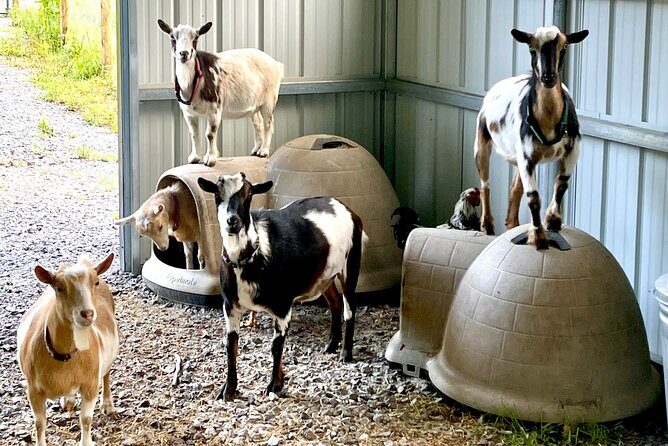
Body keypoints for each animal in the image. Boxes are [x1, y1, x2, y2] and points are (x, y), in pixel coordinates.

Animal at [17, 253, 117, 446]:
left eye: (95, 282)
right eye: (59, 288)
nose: (87, 314)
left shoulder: (90, 385)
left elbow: (86, 419)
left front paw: (87, 442)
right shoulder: (33, 390)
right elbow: (39, 423)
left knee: (107, 373)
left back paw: (107, 404)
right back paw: (68, 400)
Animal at [158, 19, 284, 166]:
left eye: (196, 38)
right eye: (172, 37)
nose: (183, 53)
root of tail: (275, 63)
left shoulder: (214, 109)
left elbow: (210, 134)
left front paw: (210, 158)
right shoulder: (188, 113)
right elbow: (194, 133)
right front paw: (194, 157)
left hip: (269, 100)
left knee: (268, 124)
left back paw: (263, 151)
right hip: (254, 104)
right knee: (257, 123)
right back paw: (256, 150)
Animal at [198, 172, 365, 401]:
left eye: (249, 194)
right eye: (216, 194)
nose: (232, 221)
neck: (254, 254)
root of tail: (347, 209)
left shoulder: (283, 306)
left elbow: (276, 347)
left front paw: (274, 385)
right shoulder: (229, 305)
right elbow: (231, 345)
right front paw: (228, 389)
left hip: (350, 265)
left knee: (350, 308)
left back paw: (345, 354)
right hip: (325, 277)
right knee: (335, 303)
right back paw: (331, 346)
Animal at [475, 26, 588, 249]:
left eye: (565, 47)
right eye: (530, 47)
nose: (548, 77)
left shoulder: (572, 151)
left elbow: (561, 185)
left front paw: (553, 220)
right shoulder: (527, 157)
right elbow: (533, 197)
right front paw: (539, 236)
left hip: (518, 157)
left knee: (514, 189)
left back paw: (512, 224)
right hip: (482, 140)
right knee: (485, 183)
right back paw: (487, 224)